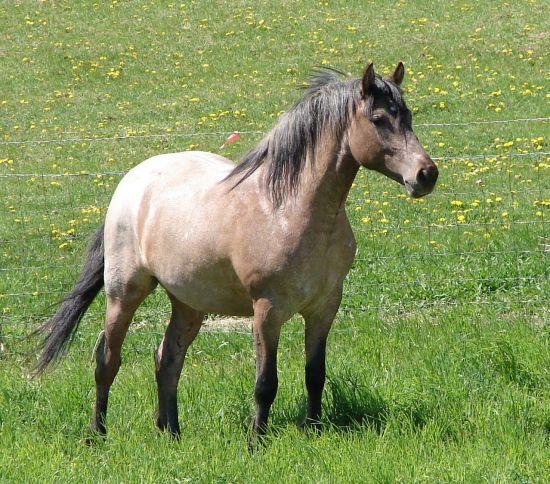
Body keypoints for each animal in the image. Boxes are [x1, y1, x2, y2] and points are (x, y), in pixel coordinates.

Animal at [34, 62, 440, 448]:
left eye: (407, 115)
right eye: (379, 119)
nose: (426, 175)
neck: (289, 208)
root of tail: (132, 180)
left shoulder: (324, 307)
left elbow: (315, 374)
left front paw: (313, 431)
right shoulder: (267, 311)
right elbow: (266, 383)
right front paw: (255, 442)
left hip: (189, 303)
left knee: (168, 359)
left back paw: (171, 433)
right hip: (124, 292)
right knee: (107, 360)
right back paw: (97, 435)